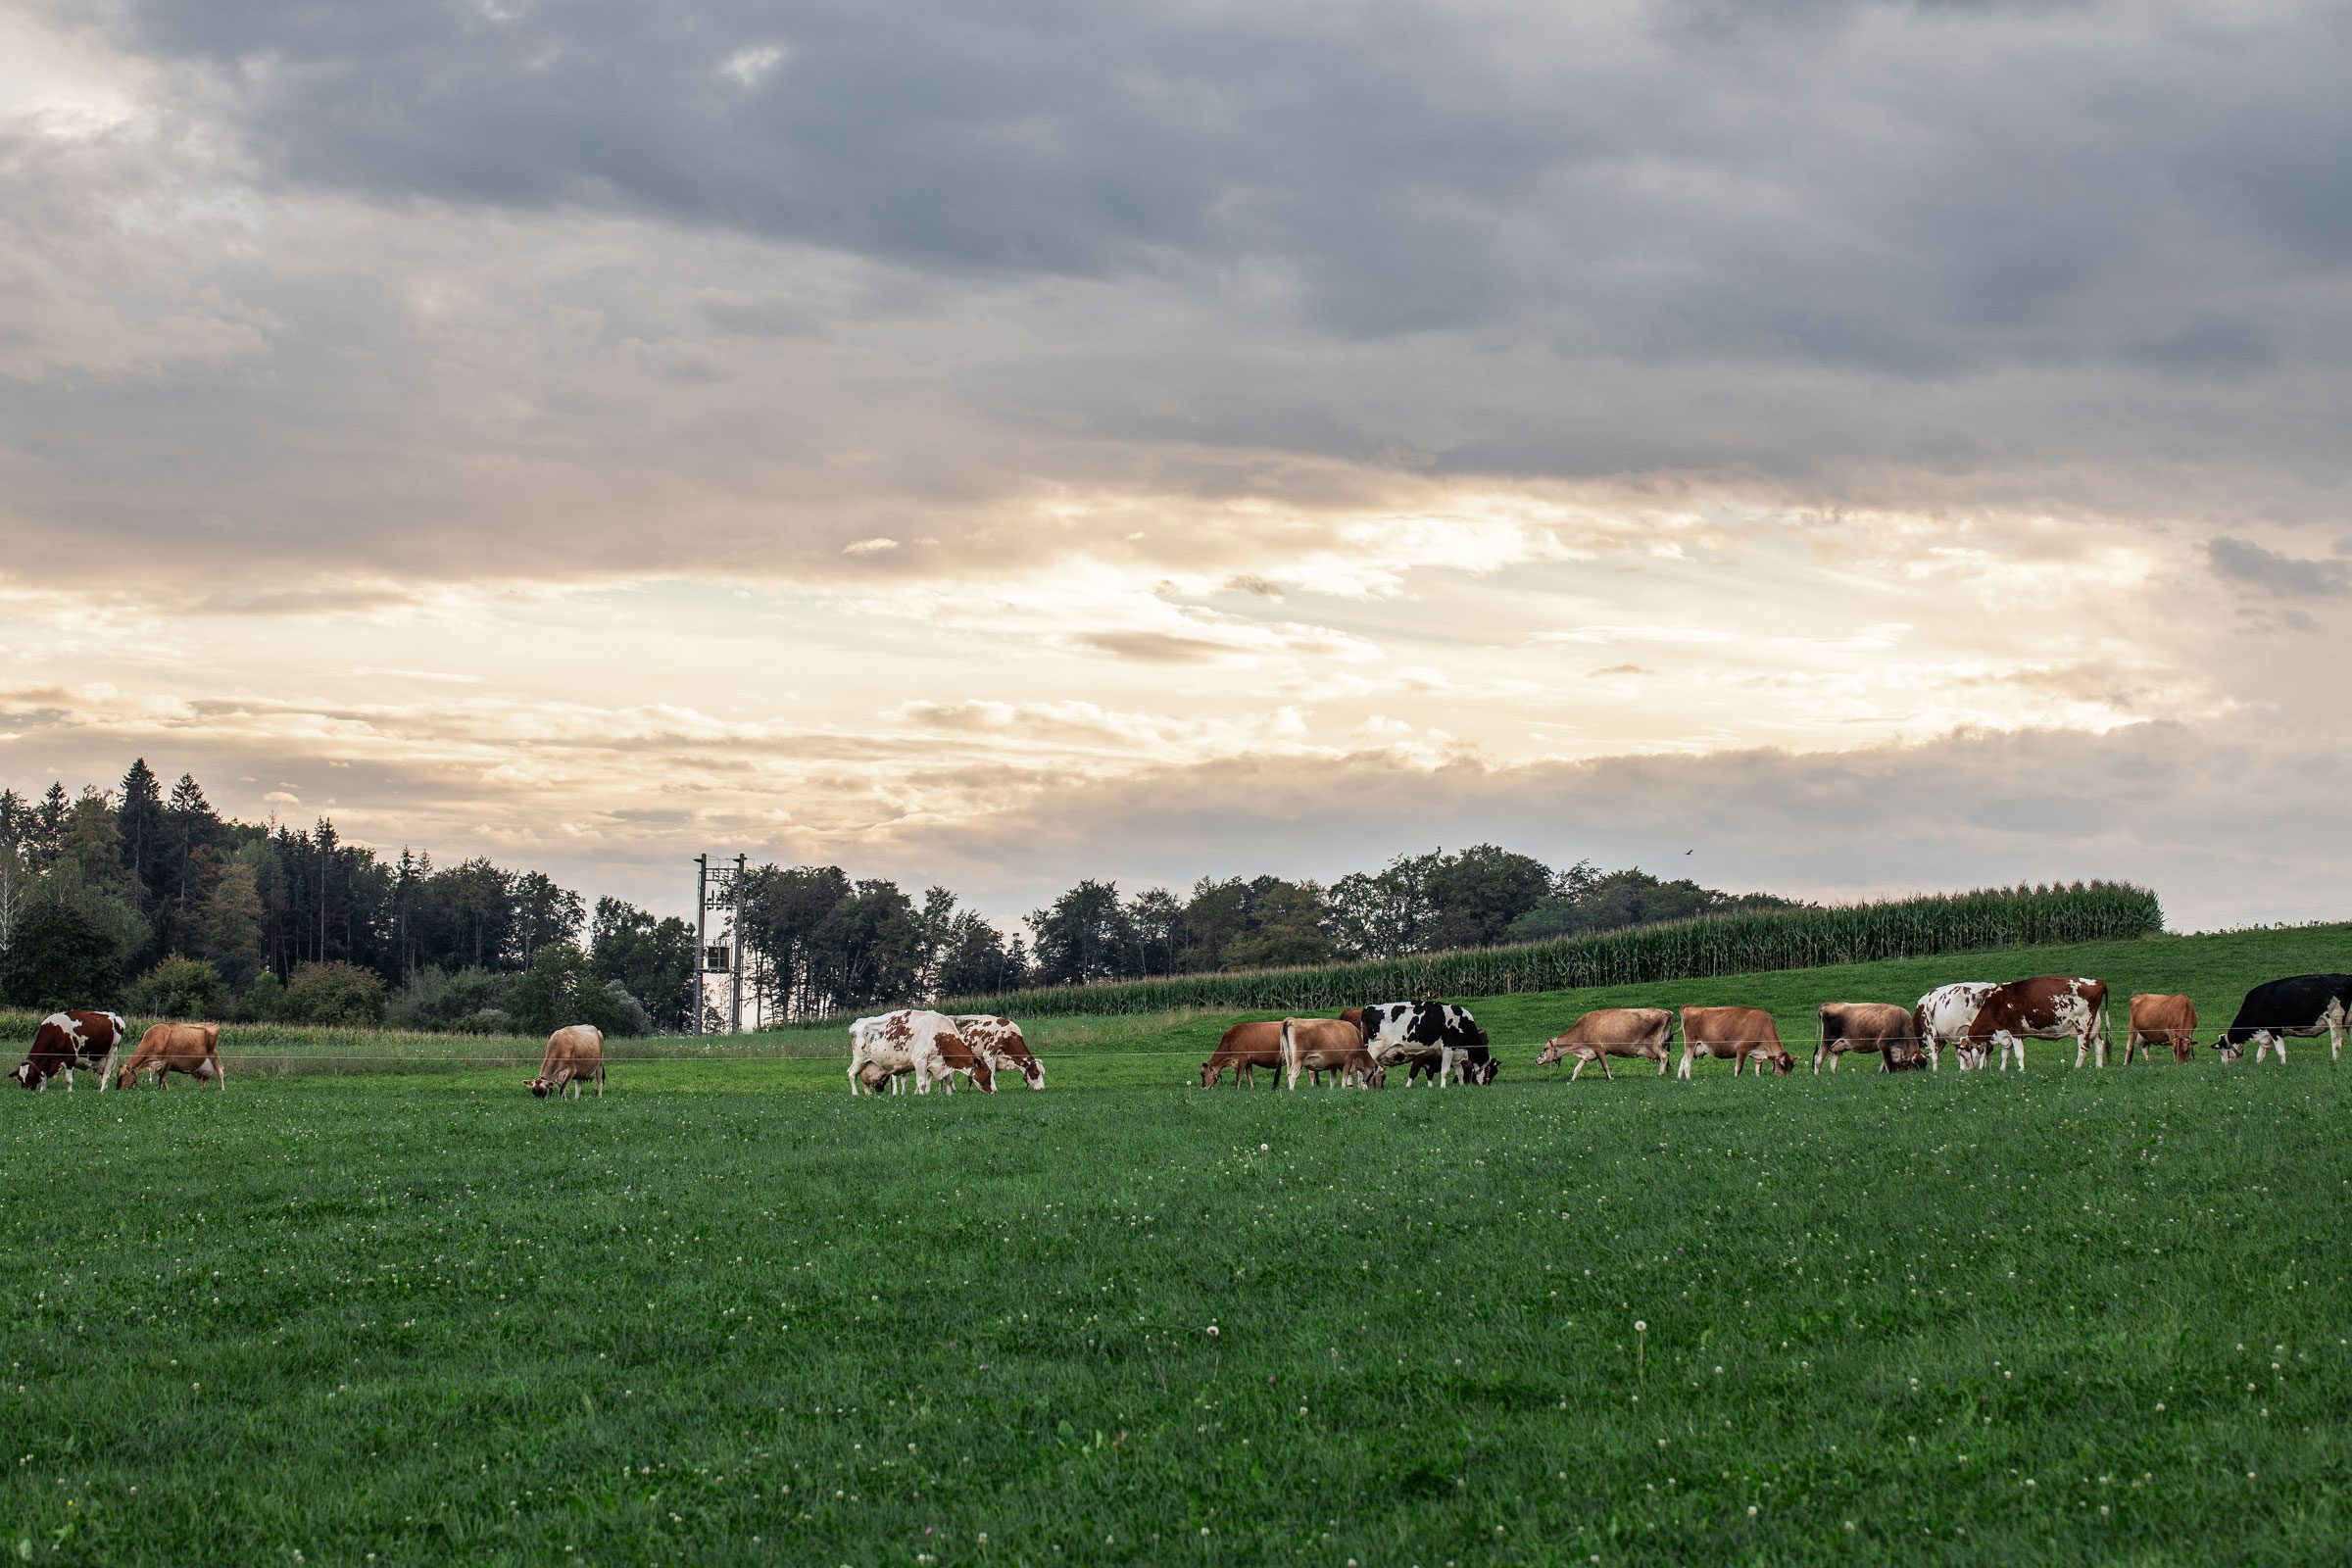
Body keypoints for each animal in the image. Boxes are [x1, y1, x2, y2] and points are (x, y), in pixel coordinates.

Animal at [847, 1010, 992, 1100]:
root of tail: (857, 1023)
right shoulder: (919, 1060)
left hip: (868, 1064)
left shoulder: (943, 1062)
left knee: (864, 1079)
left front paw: (949, 1094)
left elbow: (948, 1080)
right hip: (859, 1059)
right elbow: (921, 1082)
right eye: (988, 1073)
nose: (994, 1091)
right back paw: (855, 1093)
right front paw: (922, 1095)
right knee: (851, 1073)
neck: (939, 1035)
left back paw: (868, 1094)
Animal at [1354, 1005, 1495, 1091]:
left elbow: (1459, 1072)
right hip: (1375, 1048)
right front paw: (1443, 1087)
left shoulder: (1456, 1054)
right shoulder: (1448, 1048)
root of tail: (1369, 1008)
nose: (1487, 1085)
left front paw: (1461, 1086)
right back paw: (1362, 1087)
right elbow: (1445, 1071)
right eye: (1493, 1071)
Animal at [1533, 1010, 1684, 1086]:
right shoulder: (1588, 1053)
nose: (1536, 1060)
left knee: (1664, 1056)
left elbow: (1605, 1066)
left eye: (1545, 1048)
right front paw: (1572, 1081)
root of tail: (1667, 1012)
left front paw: (1611, 1079)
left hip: (1654, 1044)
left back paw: (1659, 1075)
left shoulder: (1599, 1049)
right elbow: (1577, 1068)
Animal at [1947, 973, 2117, 1071]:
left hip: (2083, 1023)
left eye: (1963, 1053)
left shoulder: (2015, 1030)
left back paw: (2076, 1067)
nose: (1966, 1071)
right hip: (2094, 1024)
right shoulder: (2005, 1033)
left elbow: (2018, 1053)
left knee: (2083, 1047)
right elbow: (2005, 1053)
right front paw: (2002, 1070)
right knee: (2099, 1044)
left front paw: (2022, 1070)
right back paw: (2098, 1067)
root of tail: (2098, 982)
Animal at [2201, 982, 2352, 1067]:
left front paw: (2283, 1065)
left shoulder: (2274, 1030)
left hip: (2334, 1019)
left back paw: (2334, 1061)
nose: (2224, 1065)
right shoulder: (2265, 1036)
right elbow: (2260, 1054)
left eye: (2220, 1050)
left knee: (2337, 1044)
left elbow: (2281, 1051)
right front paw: (2259, 1065)